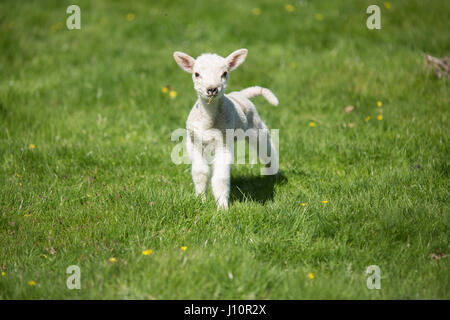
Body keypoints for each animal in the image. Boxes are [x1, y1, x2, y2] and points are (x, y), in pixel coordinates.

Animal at [174, 48, 280, 210]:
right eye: (196, 74)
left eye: (224, 73)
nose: (212, 89)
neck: (209, 123)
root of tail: (239, 94)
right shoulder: (195, 144)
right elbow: (200, 173)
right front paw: (200, 200)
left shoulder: (223, 144)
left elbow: (220, 178)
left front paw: (222, 207)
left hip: (256, 127)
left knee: (266, 147)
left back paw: (272, 173)